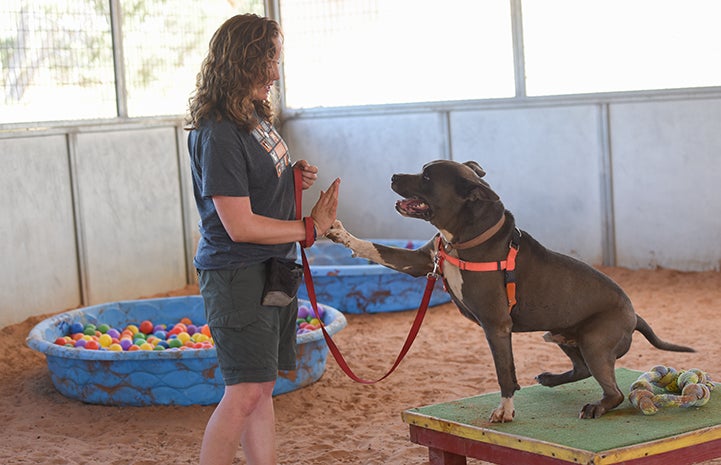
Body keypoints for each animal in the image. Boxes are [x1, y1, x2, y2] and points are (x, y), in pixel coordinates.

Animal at [324, 159, 692, 420]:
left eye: (427, 177)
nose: (393, 175)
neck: (465, 237)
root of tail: (634, 314)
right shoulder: (418, 262)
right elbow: (374, 249)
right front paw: (338, 231)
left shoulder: (496, 326)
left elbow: (505, 372)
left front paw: (506, 410)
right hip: (561, 334)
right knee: (582, 369)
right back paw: (551, 379)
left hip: (594, 340)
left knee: (612, 391)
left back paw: (596, 407)